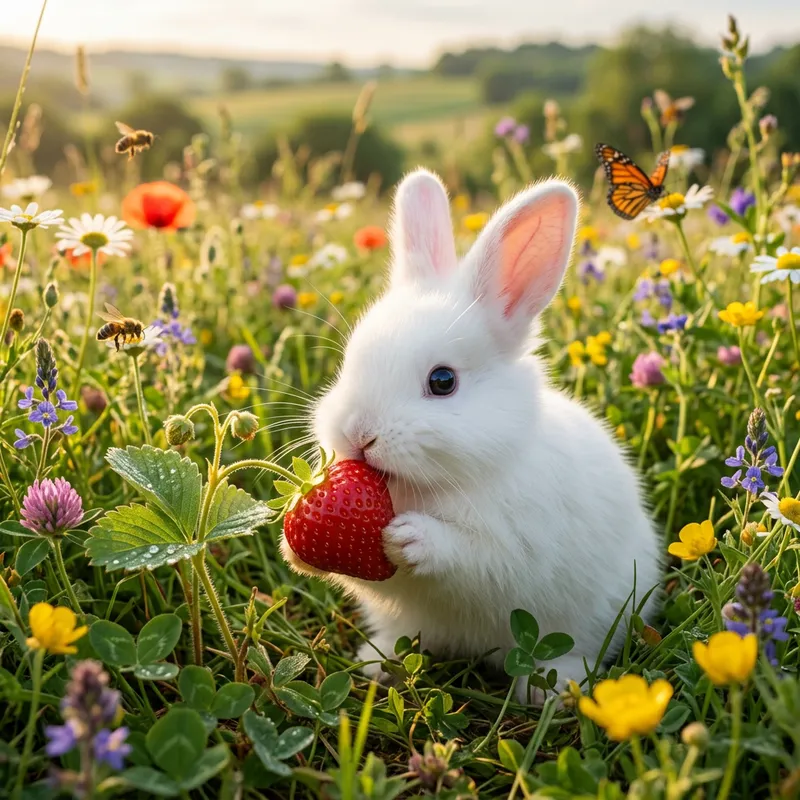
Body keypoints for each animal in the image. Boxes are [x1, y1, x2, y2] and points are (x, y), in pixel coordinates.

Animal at [281, 168, 661, 704]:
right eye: (348, 362)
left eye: (443, 381)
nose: (358, 434)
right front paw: (293, 549)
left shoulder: (514, 548)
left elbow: (470, 558)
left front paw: (410, 537)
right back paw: (378, 663)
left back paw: (550, 688)